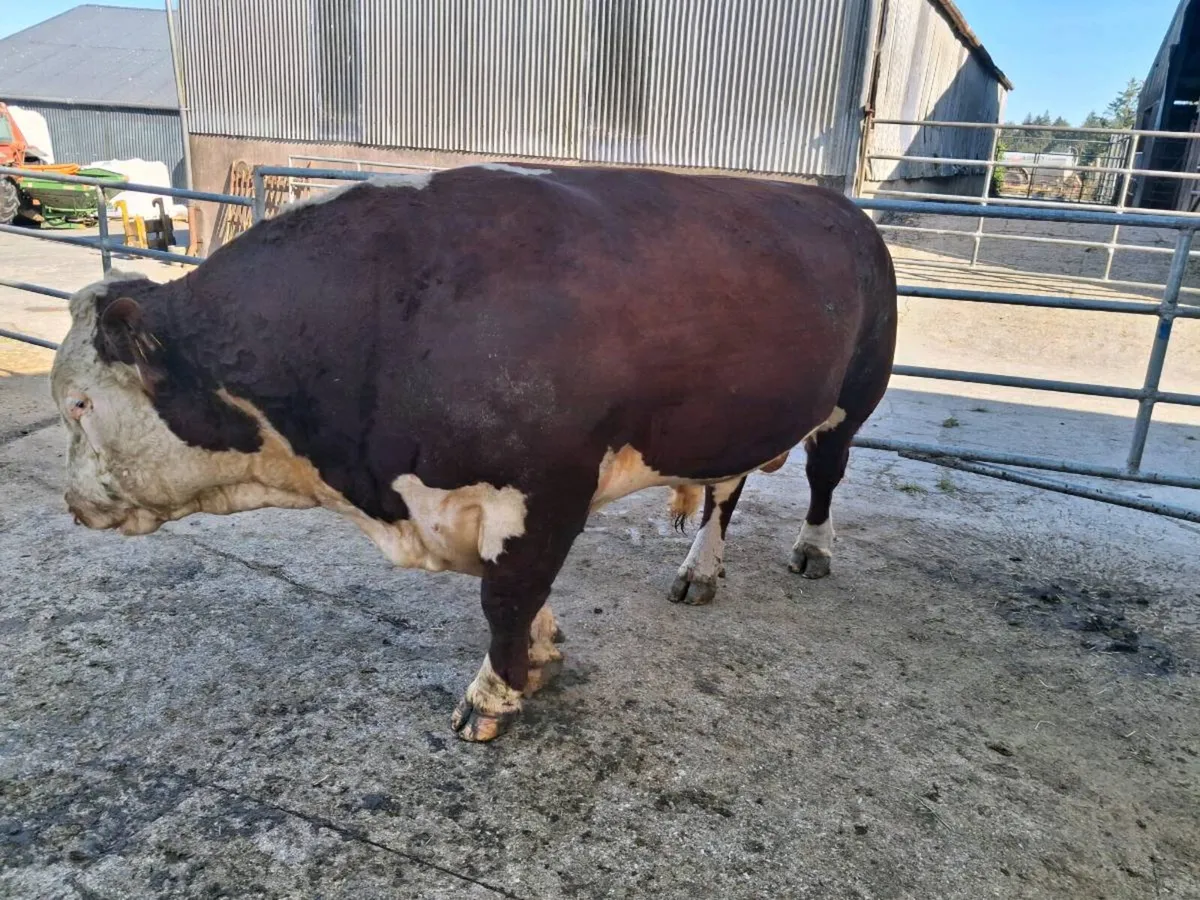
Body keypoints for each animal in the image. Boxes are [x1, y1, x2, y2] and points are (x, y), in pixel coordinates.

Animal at [49, 164, 897, 742]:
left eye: (79, 404)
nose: (71, 502)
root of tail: (836, 204)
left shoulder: (545, 487)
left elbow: (506, 596)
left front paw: (493, 696)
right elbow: (516, 594)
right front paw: (542, 656)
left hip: (855, 397)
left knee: (824, 475)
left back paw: (812, 549)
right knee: (725, 493)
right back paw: (701, 570)